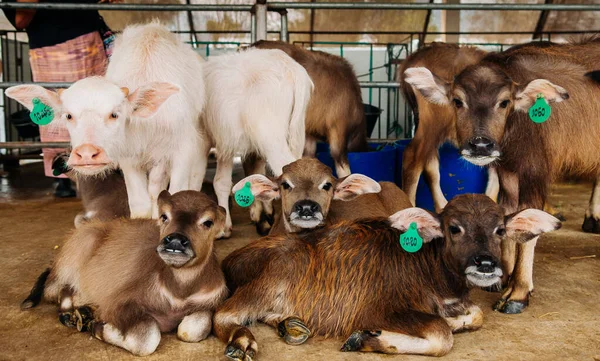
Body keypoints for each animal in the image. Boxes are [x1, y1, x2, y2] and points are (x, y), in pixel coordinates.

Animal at [5, 23, 209, 219]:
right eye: (68, 116)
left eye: (114, 114)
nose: (87, 153)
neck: (145, 126)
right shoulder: (128, 158)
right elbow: (140, 204)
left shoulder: (182, 150)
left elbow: (177, 193)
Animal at [21, 190, 227, 352]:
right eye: (164, 216)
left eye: (208, 222)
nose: (175, 241)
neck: (180, 291)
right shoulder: (120, 303)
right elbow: (147, 338)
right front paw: (97, 327)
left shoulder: (208, 303)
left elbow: (194, 329)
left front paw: (93, 321)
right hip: (77, 250)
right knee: (58, 289)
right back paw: (71, 316)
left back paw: (84, 312)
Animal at [203, 47, 312, 238]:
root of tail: (290, 67)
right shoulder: (227, 142)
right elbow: (222, 181)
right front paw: (225, 226)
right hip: (295, 131)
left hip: (269, 134)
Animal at [214, 194, 556, 358]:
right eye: (454, 228)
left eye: (500, 230)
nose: (485, 263)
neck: (429, 269)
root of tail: (231, 258)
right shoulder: (378, 309)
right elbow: (440, 333)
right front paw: (366, 339)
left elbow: (475, 316)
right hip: (274, 275)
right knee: (225, 315)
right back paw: (242, 342)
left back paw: (291, 326)